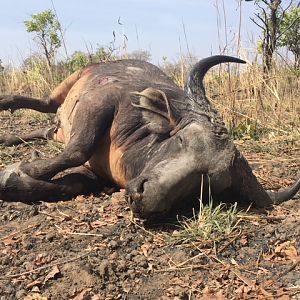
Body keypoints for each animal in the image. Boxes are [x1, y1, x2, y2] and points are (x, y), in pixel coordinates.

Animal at [0, 56, 298, 219]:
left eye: (207, 183)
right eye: (181, 140)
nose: (145, 197)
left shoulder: (94, 174)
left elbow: (70, 184)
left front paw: (16, 180)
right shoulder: (101, 101)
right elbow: (78, 149)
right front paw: (23, 169)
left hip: (57, 129)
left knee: (46, 130)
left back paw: (9, 139)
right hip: (69, 83)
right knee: (45, 103)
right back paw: (6, 102)